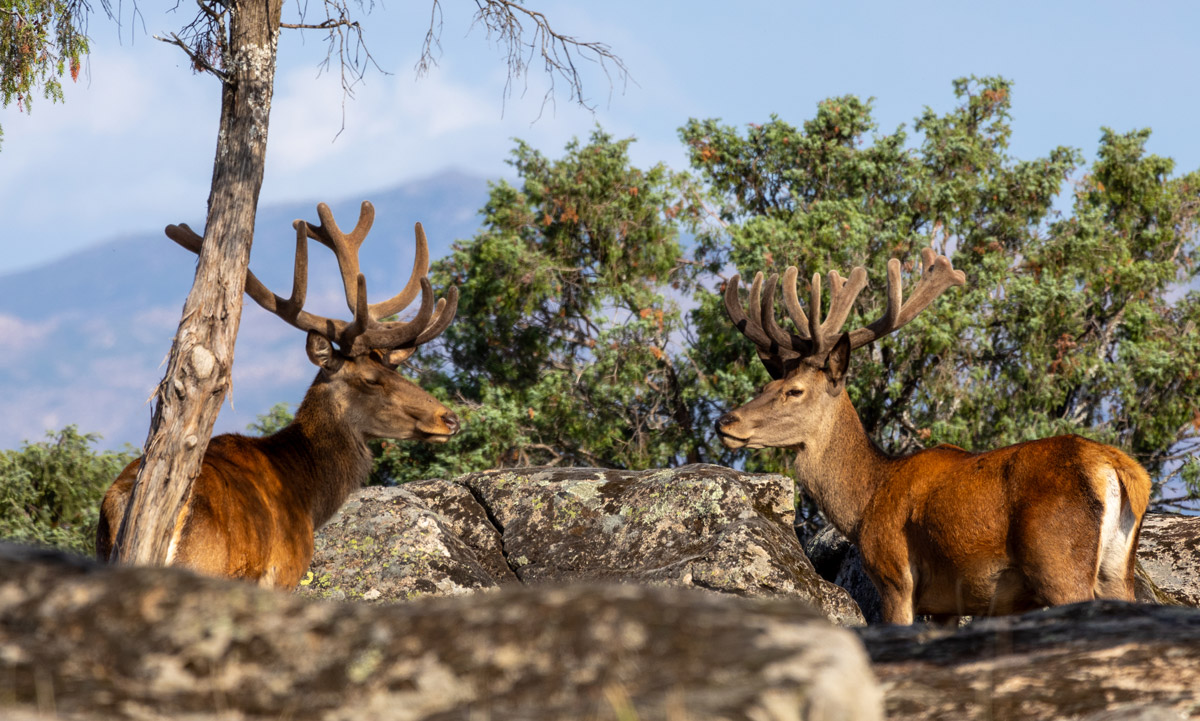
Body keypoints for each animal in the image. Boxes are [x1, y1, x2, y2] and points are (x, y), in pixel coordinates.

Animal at [96, 199, 460, 587]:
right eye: (371, 379)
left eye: (395, 370)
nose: (450, 418)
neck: (309, 498)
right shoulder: (284, 572)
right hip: (202, 564)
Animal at [710, 247, 1152, 623]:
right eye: (767, 385)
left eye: (794, 390)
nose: (726, 422)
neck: (866, 501)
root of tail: (1116, 468)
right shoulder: (946, 604)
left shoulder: (895, 577)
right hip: (1118, 570)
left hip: (1059, 560)